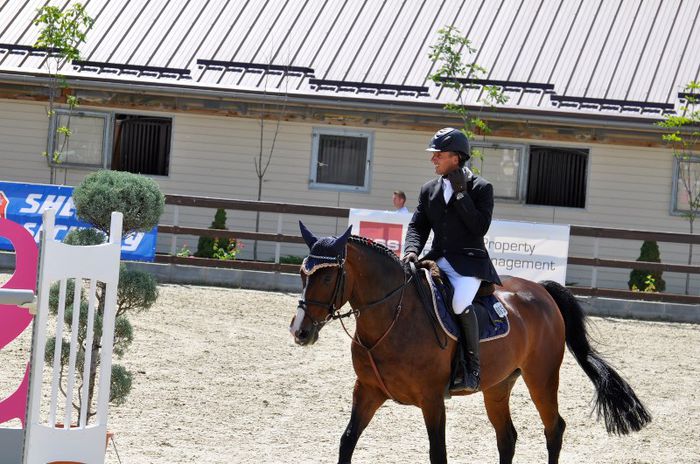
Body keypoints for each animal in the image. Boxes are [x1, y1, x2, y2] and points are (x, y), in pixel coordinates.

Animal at [290, 223, 652, 462]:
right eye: (302, 273)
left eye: (327, 275)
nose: (300, 331)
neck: (393, 317)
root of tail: (543, 291)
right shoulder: (367, 390)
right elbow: (347, 441)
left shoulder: (432, 399)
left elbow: (438, 454)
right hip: (498, 385)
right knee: (508, 437)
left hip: (542, 378)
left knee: (554, 429)